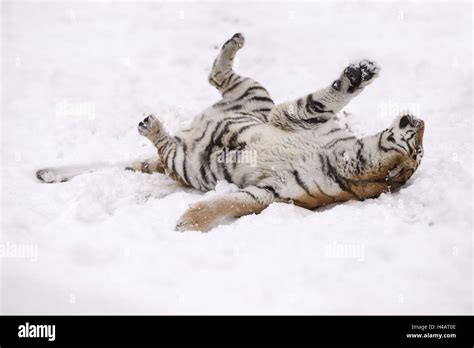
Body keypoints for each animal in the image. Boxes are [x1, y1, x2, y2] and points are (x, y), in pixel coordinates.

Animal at [35, 34, 424, 232]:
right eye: (419, 142)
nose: (418, 122)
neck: (348, 156)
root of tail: (191, 131)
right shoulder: (295, 117)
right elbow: (324, 98)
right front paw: (360, 73)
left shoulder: (269, 194)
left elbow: (231, 201)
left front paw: (188, 222)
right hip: (255, 96)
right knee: (217, 76)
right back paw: (235, 41)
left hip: (188, 163)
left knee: (167, 146)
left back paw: (153, 126)